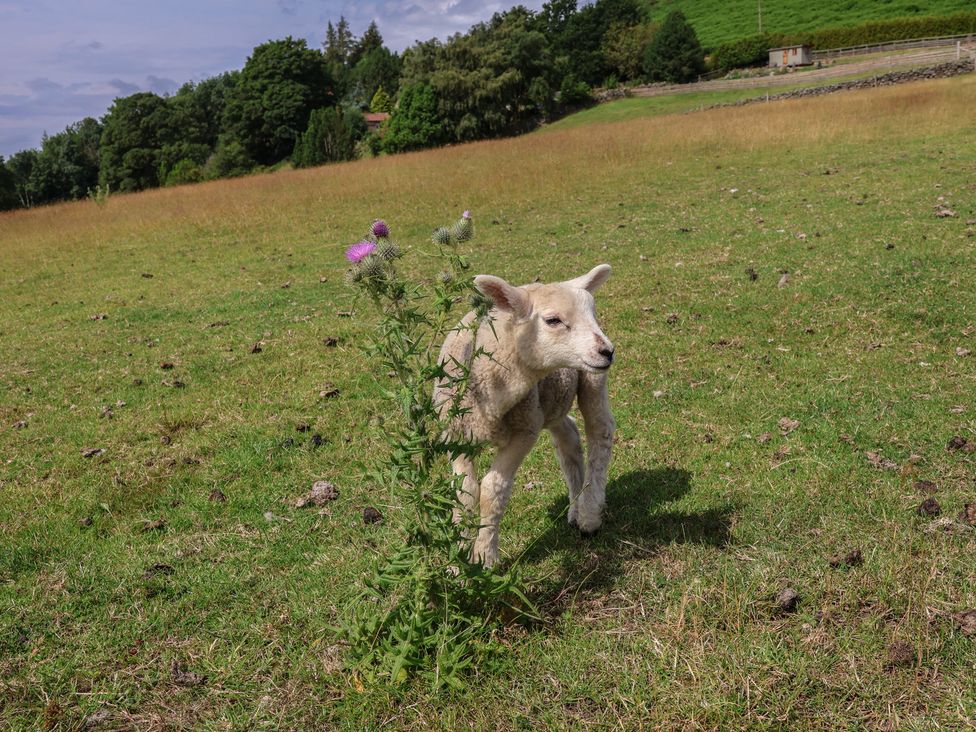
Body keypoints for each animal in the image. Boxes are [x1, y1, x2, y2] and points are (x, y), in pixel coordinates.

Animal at [435, 264, 616, 567]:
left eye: (592, 313)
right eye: (553, 320)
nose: (608, 351)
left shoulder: (525, 432)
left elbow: (492, 490)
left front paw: (485, 556)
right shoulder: (455, 435)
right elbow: (464, 492)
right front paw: (457, 561)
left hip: (591, 379)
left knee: (600, 432)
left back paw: (589, 514)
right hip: (551, 401)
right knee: (568, 439)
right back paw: (575, 508)